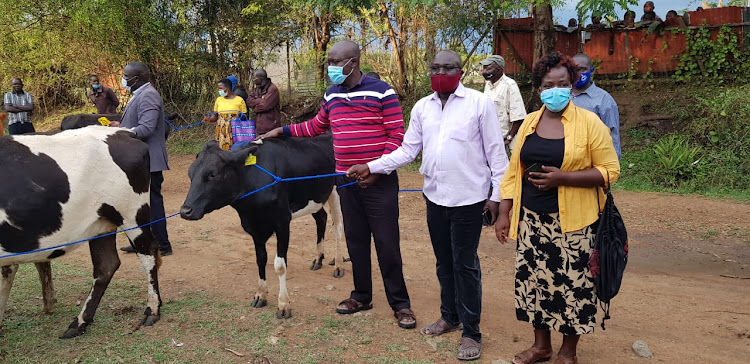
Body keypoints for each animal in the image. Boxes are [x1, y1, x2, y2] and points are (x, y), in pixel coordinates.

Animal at [0, 127, 164, 338]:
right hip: (102, 225)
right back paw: (80, 322)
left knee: (148, 253)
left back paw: (152, 310)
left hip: (132, 214)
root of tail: (123, 131)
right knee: (106, 266)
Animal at [181, 134, 346, 318]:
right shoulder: (253, 225)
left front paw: (283, 305)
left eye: (213, 174)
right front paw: (260, 295)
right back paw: (318, 258)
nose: (185, 211)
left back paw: (339, 264)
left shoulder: (282, 222)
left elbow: (280, 265)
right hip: (314, 197)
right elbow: (260, 259)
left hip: (337, 190)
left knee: (338, 227)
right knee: (321, 218)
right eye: (190, 173)